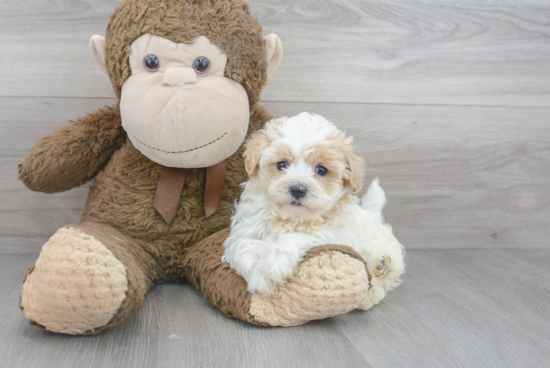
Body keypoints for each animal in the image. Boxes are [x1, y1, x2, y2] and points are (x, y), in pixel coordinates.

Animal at [222, 113, 408, 310]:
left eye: (321, 170)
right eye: (282, 164)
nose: (297, 189)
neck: (290, 219)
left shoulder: (330, 234)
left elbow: (296, 237)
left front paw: (274, 262)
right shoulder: (242, 232)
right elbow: (243, 246)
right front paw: (260, 276)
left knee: (386, 278)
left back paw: (381, 268)